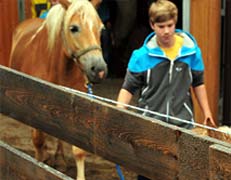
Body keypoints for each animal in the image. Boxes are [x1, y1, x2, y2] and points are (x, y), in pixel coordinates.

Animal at [8, 0, 107, 180]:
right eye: (73, 28)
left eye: (101, 28)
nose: (99, 70)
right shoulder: (32, 104)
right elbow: (38, 140)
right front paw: (39, 163)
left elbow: (78, 150)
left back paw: (60, 159)